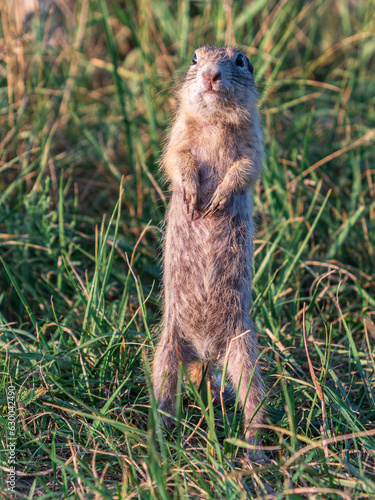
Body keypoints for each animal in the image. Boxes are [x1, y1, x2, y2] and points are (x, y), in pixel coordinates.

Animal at [153, 46, 268, 460]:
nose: (210, 75)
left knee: (254, 403)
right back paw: (162, 439)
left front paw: (218, 199)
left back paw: (255, 453)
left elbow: (245, 168)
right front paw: (191, 197)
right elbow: (177, 160)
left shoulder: (253, 144)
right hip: (166, 353)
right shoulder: (177, 137)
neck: (216, 122)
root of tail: (205, 353)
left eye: (240, 60)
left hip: (244, 352)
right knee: (166, 398)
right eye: (193, 58)